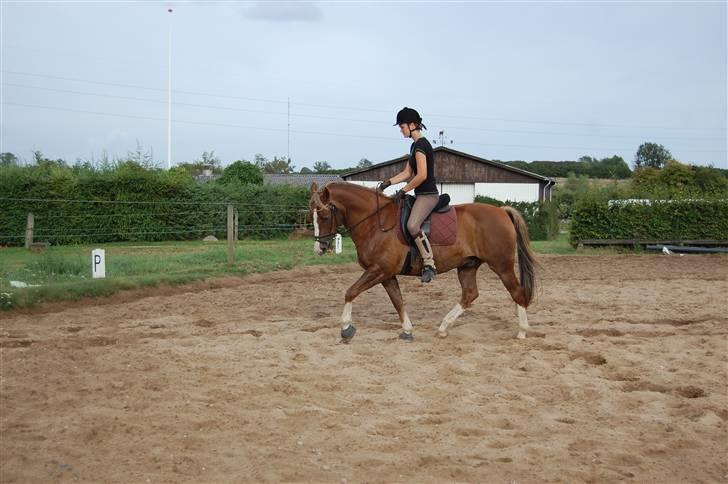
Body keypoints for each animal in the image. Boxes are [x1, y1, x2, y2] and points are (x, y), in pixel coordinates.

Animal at [310, 180, 536, 342]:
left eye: (323, 215)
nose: (319, 248)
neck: (374, 222)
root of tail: (502, 211)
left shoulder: (379, 270)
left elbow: (351, 292)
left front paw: (346, 329)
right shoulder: (386, 274)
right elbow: (397, 301)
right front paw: (407, 331)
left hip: (502, 266)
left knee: (517, 293)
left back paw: (522, 332)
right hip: (467, 265)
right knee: (470, 294)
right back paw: (443, 327)